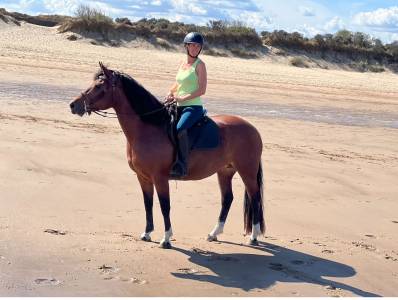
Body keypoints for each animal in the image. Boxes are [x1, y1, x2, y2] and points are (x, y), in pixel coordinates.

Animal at [70, 61, 266, 248]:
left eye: (98, 85)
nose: (73, 104)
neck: (149, 129)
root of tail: (252, 128)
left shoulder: (160, 178)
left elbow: (165, 206)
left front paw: (166, 239)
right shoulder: (143, 177)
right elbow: (148, 203)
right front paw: (147, 233)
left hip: (247, 171)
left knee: (255, 197)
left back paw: (253, 236)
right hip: (225, 171)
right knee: (227, 199)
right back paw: (214, 233)